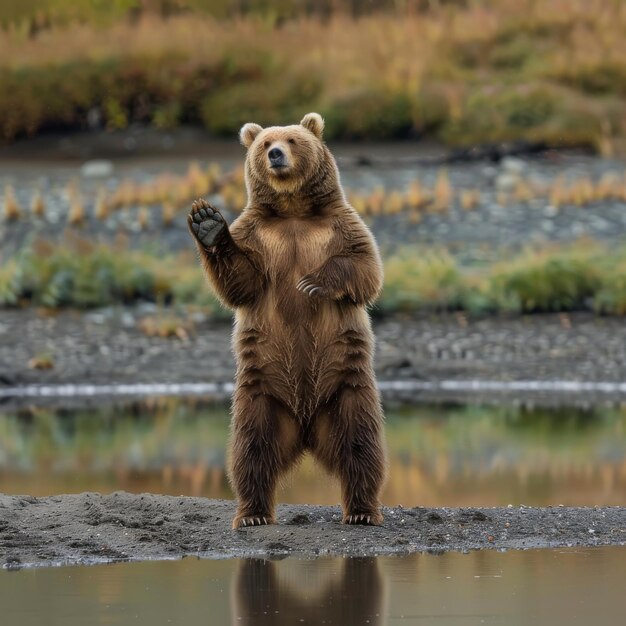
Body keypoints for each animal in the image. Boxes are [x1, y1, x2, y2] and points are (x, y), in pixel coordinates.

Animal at [188, 111, 386, 528]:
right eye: (265, 143)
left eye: (293, 139)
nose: (276, 154)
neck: (293, 209)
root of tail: (307, 429)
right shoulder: (256, 235)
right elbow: (241, 282)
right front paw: (207, 222)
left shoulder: (342, 226)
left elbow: (364, 268)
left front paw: (311, 282)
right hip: (260, 395)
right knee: (251, 450)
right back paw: (252, 513)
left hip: (347, 388)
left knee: (361, 445)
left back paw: (362, 510)